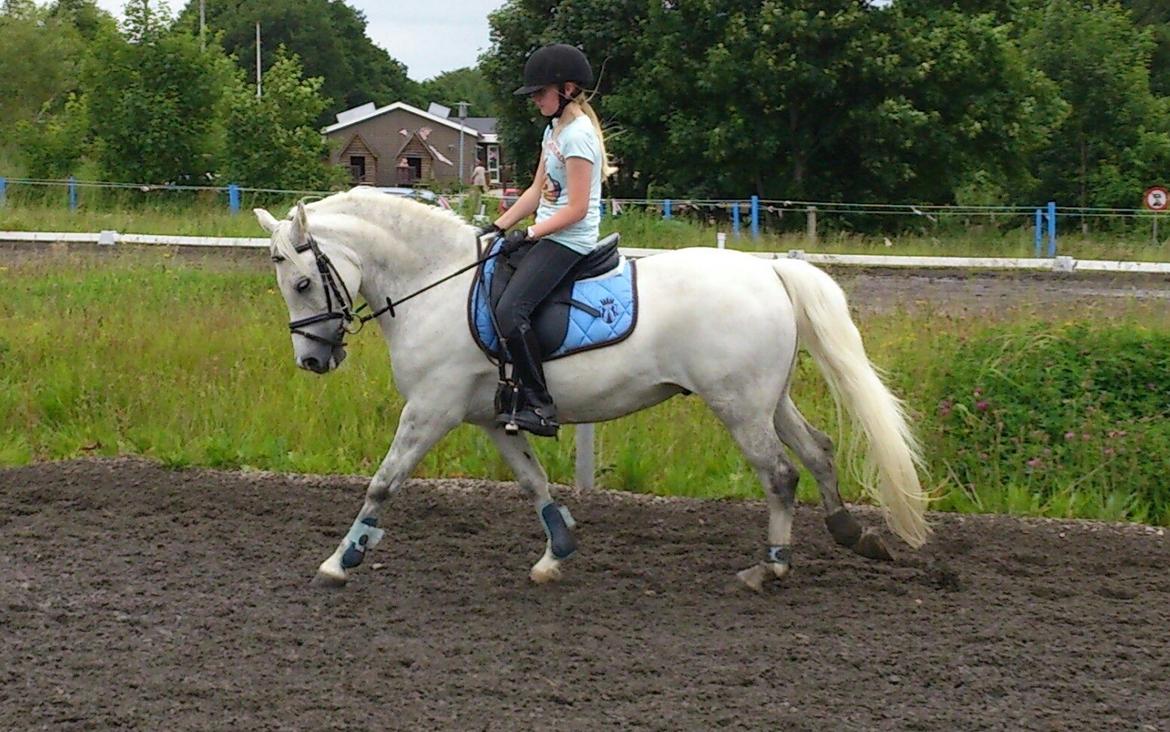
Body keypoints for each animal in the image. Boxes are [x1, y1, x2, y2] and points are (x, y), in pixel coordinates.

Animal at [253, 187, 929, 592]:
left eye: (304, 283)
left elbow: (383, 483)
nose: (312, 360)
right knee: (817, 450)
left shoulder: (430, 410)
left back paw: (769, 570)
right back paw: (851, 535)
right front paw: (557, 553)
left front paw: (340, 562)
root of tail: (770, 272)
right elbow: (534, 483)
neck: (436, 285)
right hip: (769, 399)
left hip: (738, 405)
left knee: (781, 475)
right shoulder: (490, 418)